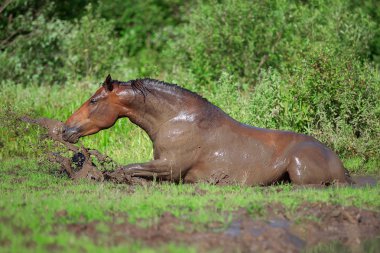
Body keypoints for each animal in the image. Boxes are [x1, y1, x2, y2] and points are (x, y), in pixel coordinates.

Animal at [62, 75, 350, 186]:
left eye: (94, 100)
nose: (65, 129)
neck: (174, 120)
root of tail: (339, 165)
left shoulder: (170, 168)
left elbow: (123, 169)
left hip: (300, 170)